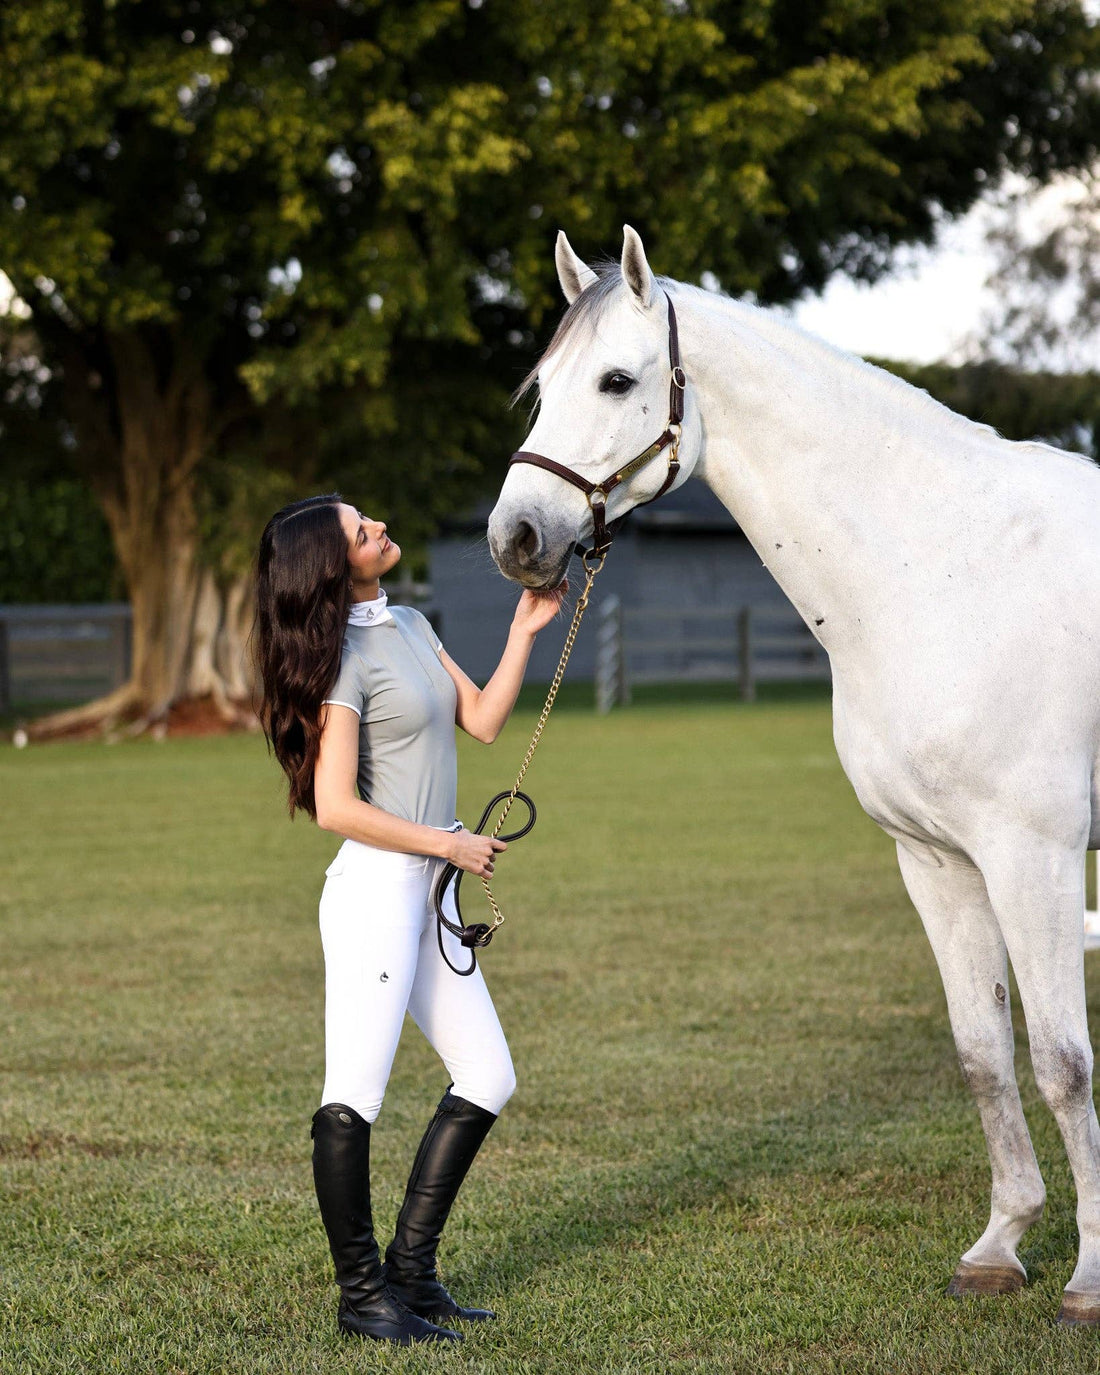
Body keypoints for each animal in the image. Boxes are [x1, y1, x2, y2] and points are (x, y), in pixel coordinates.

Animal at [487, 224, 1100, 1327]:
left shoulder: (1032, 855)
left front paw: (1088, 1276)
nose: (513, 539)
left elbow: (1063, 1063)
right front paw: (999, 1245)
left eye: (615, 380)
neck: (949, 567)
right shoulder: (935, 861)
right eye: (541, 384)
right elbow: (983, 1052)